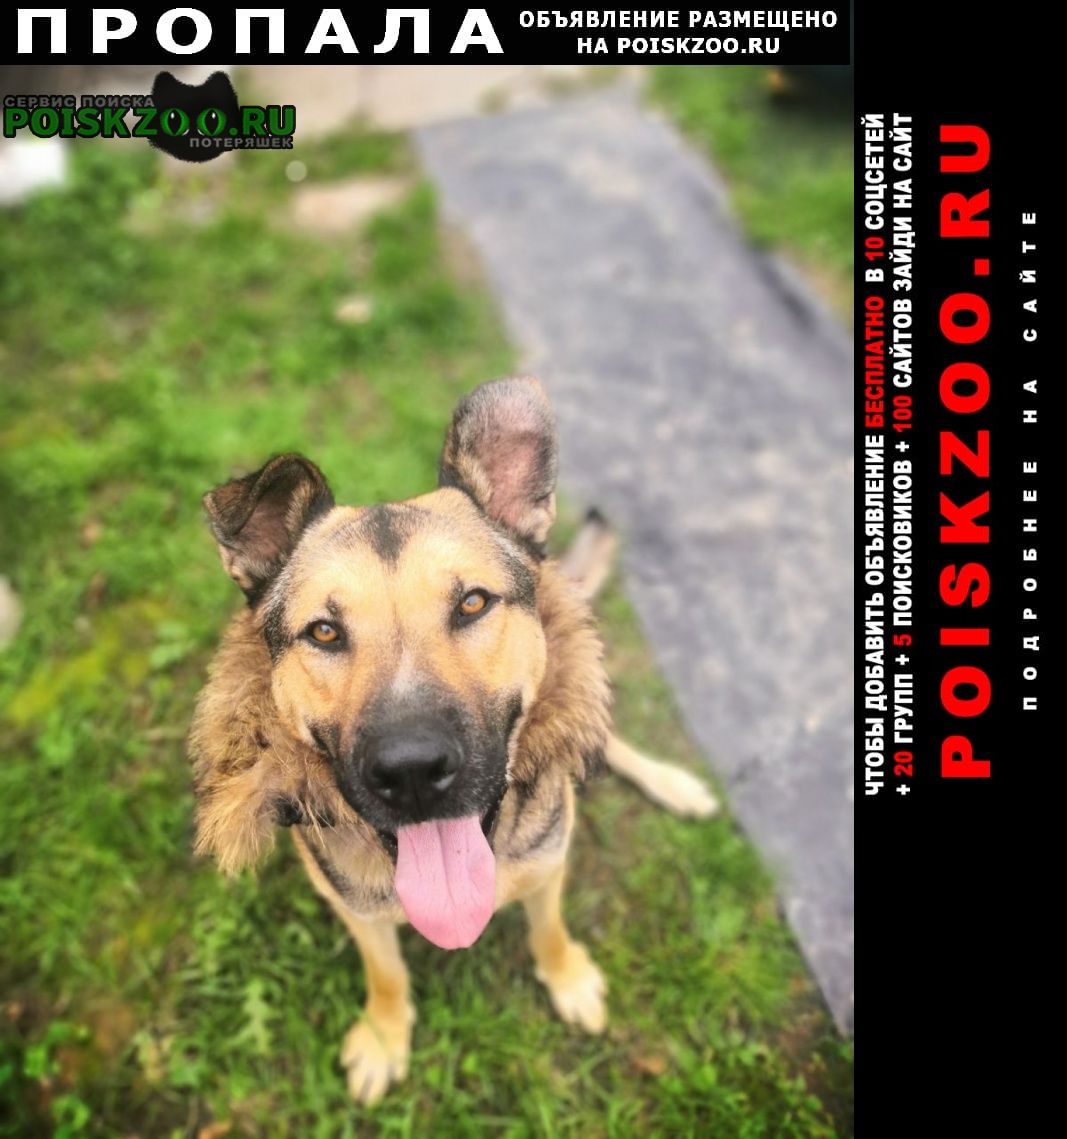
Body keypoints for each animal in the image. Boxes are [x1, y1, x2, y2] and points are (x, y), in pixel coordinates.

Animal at [189, 377, 717, 1103]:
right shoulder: (357, 911)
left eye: (472, 603)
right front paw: (385, 1034)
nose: (412, 772)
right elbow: (386, 973)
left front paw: (568, 977)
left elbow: (549, 928)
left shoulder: (549, 862)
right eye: (323, 631)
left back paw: (674, 783)